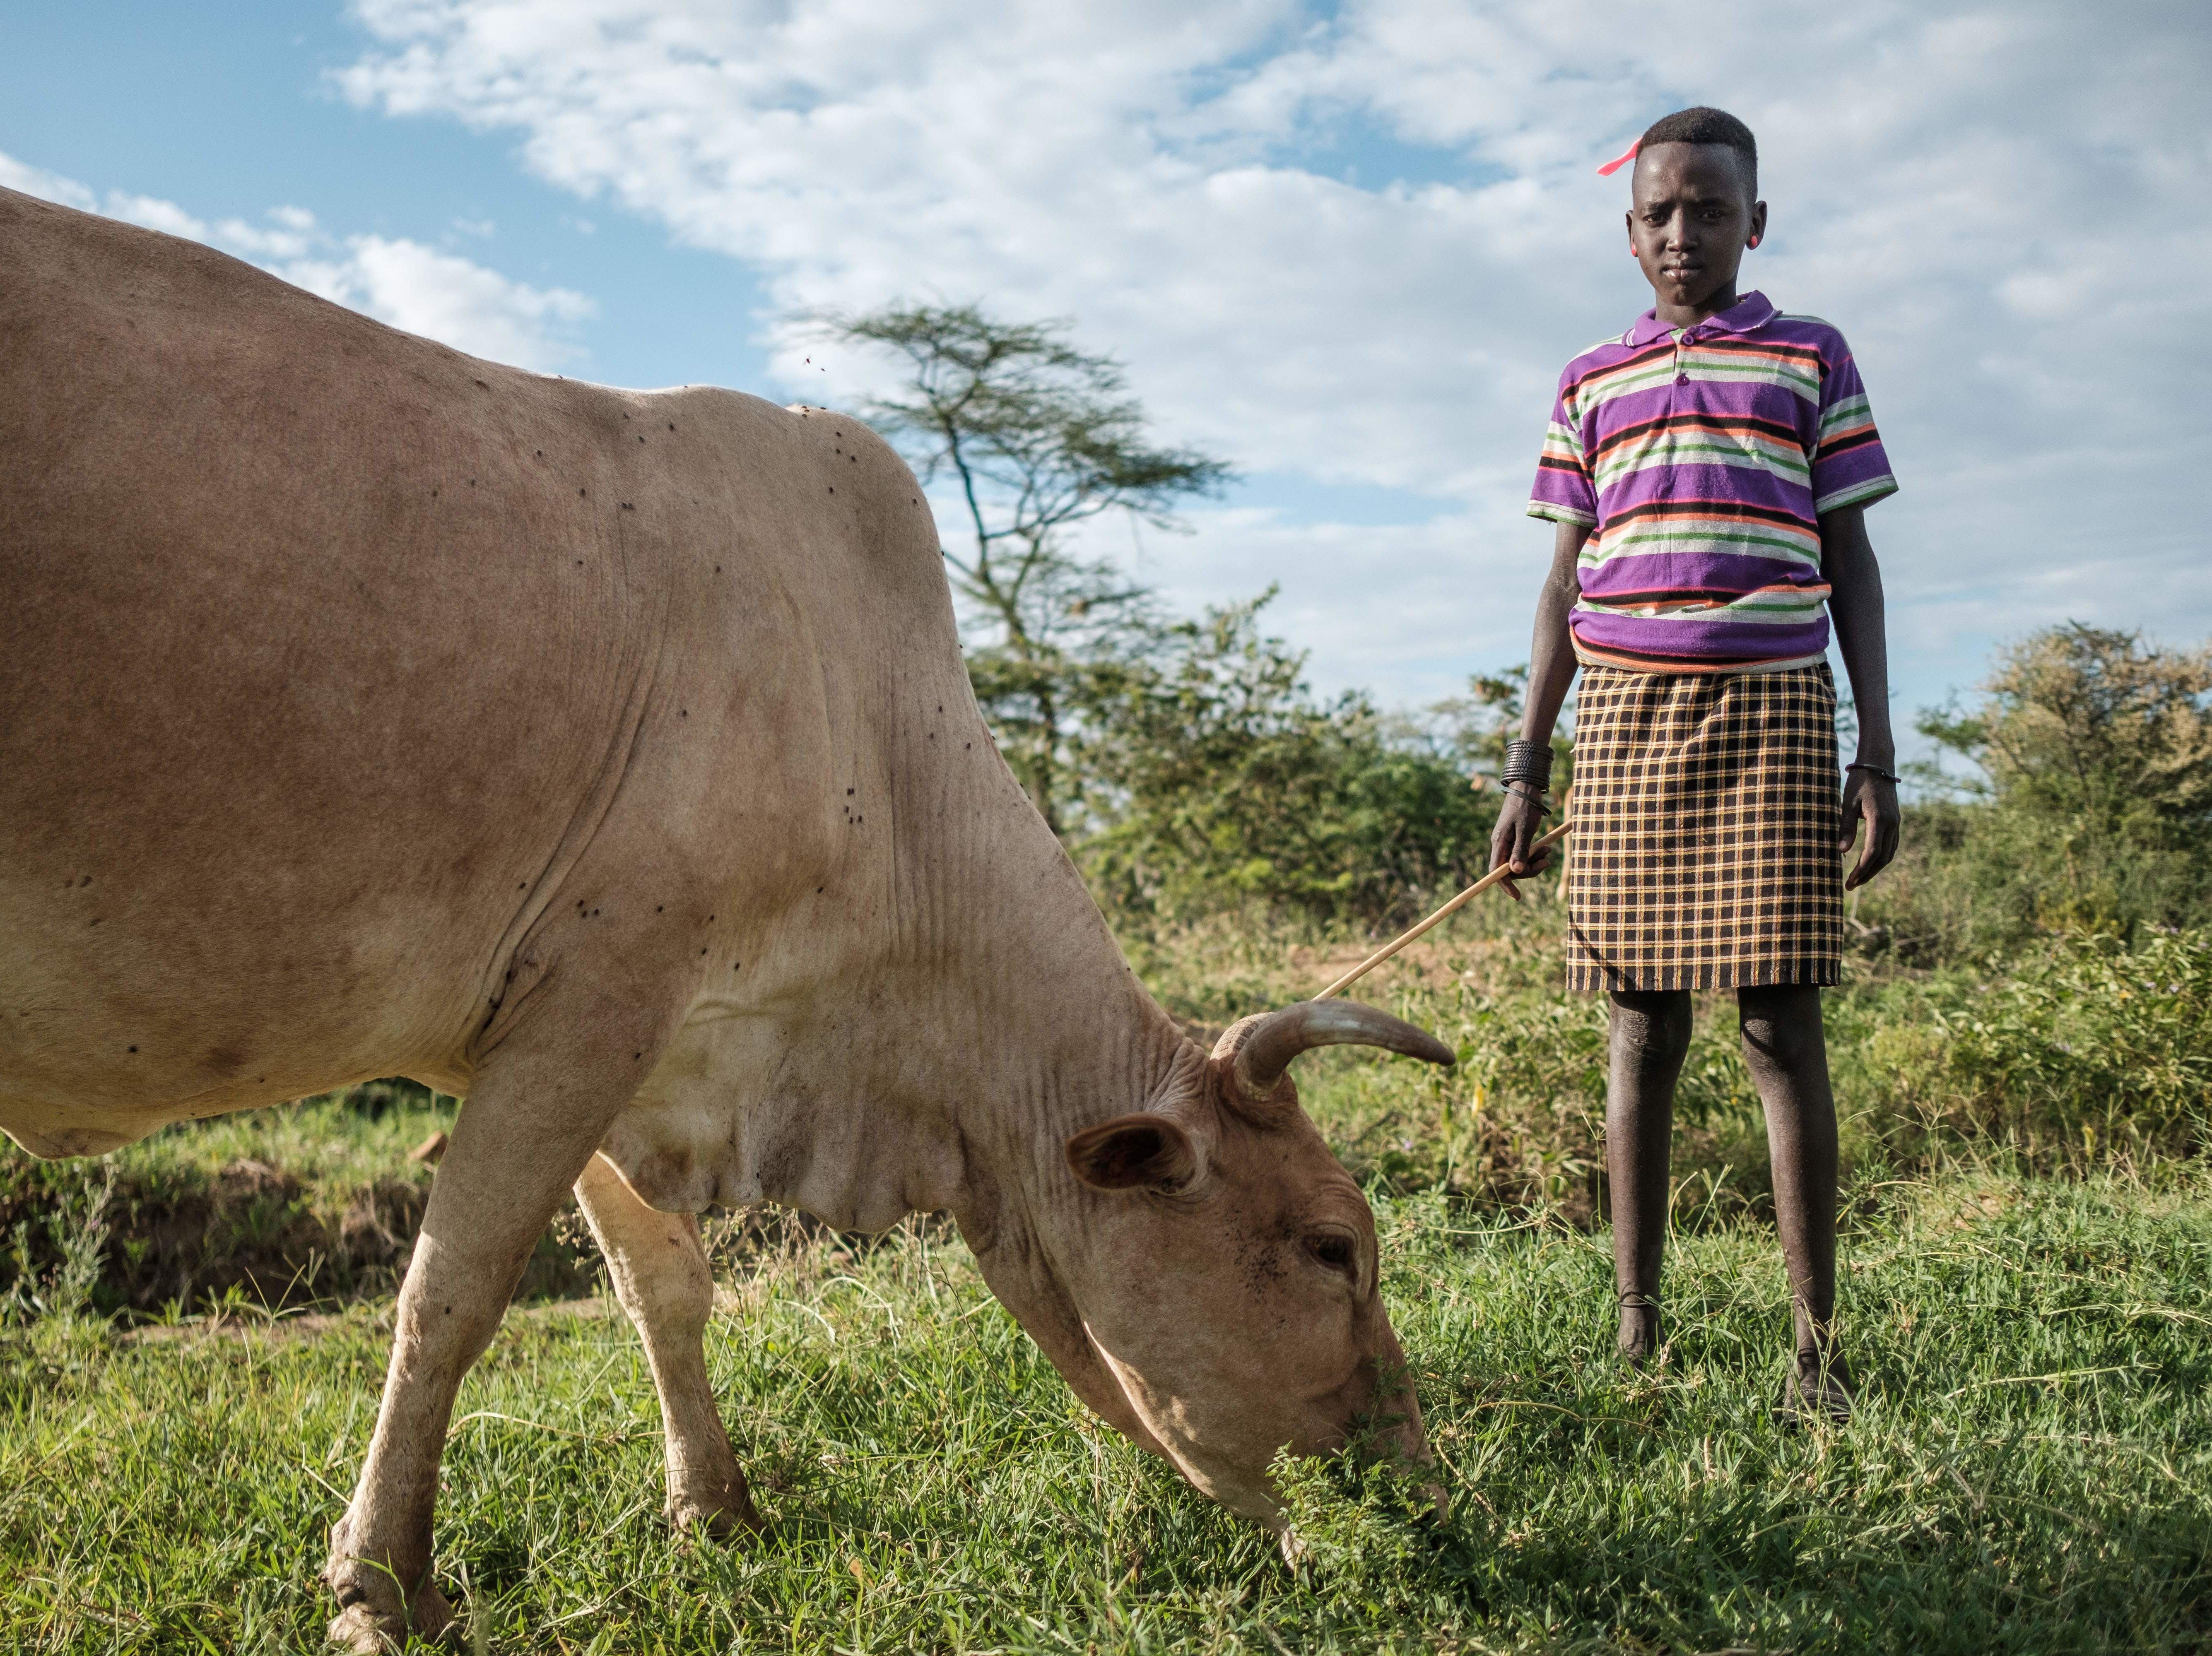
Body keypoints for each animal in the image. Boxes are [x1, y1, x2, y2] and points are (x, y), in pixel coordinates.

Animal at [0, 185, 1451, 1650]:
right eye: (1333, 1248)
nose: (1432, 1494)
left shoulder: (607, 1033)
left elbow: (663, 1283)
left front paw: (716, 1509)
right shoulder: (596, 998)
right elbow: (449, 1298)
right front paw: (385, 1584)